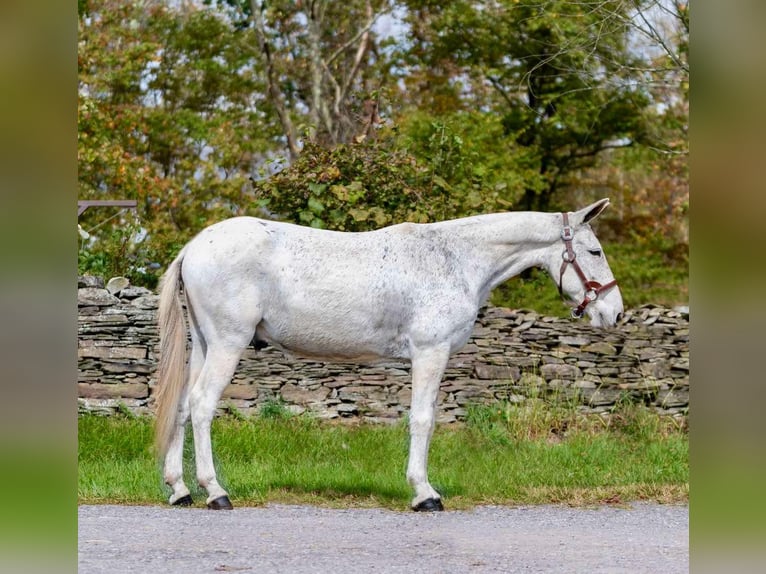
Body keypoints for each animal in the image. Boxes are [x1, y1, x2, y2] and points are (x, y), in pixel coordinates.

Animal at [154, 199, 624, 512]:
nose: (614, 313)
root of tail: (195, 246)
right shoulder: (430, 353)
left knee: (182, 405)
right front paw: (425, 494)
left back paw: (180, 490)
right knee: (202, 405)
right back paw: (215, 492)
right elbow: (423, 419)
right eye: (595, 251)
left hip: (205, 344)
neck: (456, 259)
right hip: (228, 344)